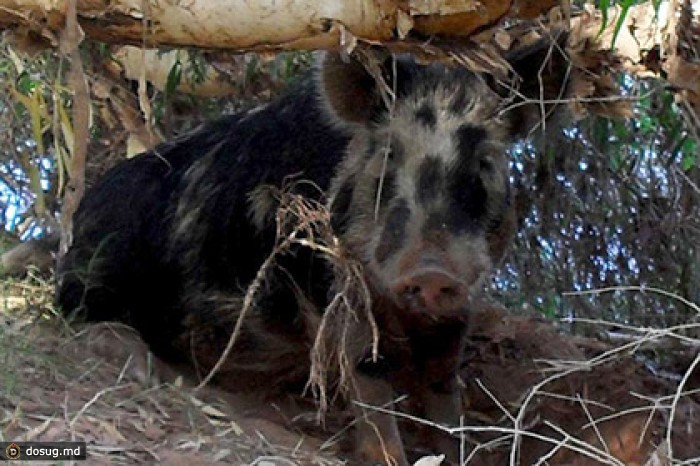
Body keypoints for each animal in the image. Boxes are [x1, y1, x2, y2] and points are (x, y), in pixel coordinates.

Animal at [57, 34, 568, 464]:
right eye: (388, 154)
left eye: (486, 161)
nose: (431, 270)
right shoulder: (329, 282)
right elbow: (368, 376)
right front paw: (386, 456)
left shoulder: (459, 307)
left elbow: (446, 388)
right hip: (97, 267)